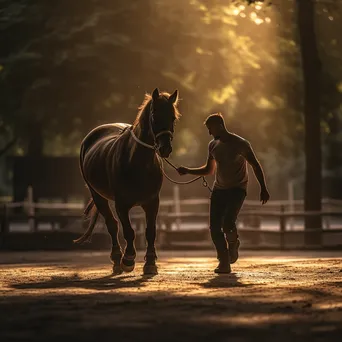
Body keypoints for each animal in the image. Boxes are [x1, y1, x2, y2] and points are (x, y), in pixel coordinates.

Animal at [73, 88, 180, 276]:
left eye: (173, 117)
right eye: (154, 115)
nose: (165, 148)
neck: (137, 162)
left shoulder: (152, 202)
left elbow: (150, 232)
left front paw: (150, 263)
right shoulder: (121, 204)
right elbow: (129, 231)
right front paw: (128, 259)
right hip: (98, 196)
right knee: (112, 225)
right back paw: (117, 259)